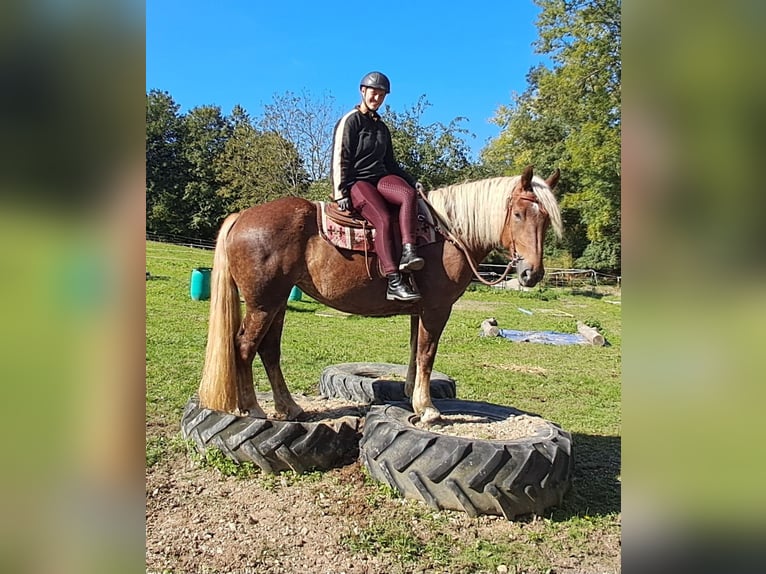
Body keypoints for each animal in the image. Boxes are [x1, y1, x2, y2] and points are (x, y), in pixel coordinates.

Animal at [196, 164, 564, 426]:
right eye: (519, 214)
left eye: (546, 219)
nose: (532, 274)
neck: (449, 233)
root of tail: (242, 216)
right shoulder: (437, 308)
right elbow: (427, 354)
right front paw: (428, 409)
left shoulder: (419, 309)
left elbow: (415, 352)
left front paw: (411, 396)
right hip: (263, 303)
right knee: (244, 347)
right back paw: (253, 409)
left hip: (277, 301)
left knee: (268, 349)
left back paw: (289, 407)